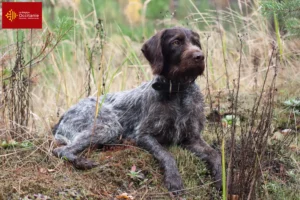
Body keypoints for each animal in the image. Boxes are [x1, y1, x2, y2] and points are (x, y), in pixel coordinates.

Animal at [52, 26, 221, 194]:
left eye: (196, 42)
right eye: (176, 42)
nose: (200, 56)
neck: (177, 92)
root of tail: (65, 114)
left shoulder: (192, 138)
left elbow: (215, 154)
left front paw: (221, 178)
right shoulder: (143, 135)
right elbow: (166, 154)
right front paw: (174, 179)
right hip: (108, 126)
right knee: (60, 150)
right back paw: (82, 162)